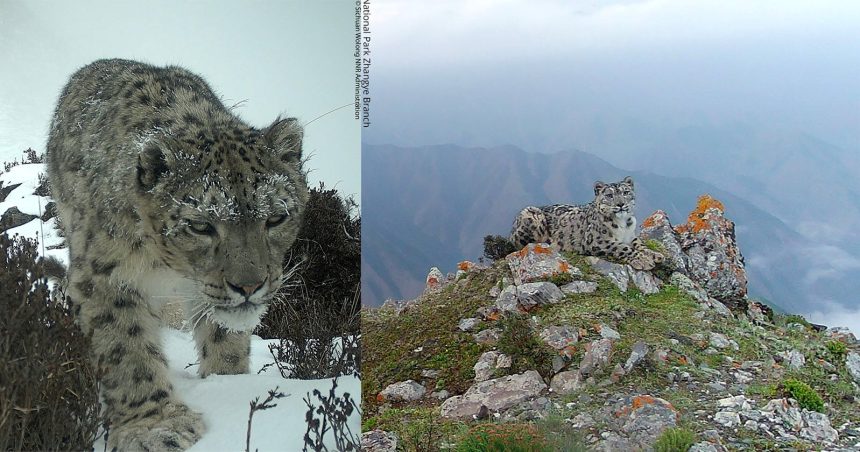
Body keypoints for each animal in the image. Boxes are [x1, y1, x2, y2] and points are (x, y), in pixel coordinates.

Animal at [45, 59, 309, 451]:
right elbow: (126, 349)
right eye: (200, 225)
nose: (249, 286)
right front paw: (154, 426)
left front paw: (229, 380)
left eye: (276, 217)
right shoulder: (105, 276)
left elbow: (224, 338)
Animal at [510, 176, 664, 270]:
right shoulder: (596, 241)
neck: (623, 224)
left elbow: (640, 244)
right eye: (609, 195)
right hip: (531, 214)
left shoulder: (631, 236)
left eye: (626, 192)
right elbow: (622, 247)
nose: (620, 204)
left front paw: (655, 255)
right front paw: (643, 261)